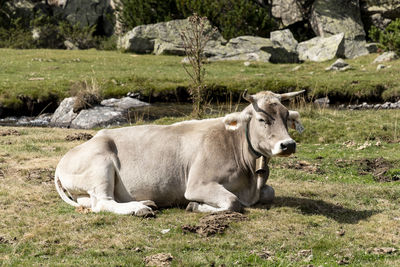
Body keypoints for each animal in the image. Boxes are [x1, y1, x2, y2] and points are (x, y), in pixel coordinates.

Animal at [54, 91, 304, 217]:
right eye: (262, 119)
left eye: (286, 116)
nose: (288, 145)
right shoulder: (197, 184)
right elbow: (233, 202)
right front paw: (196, 206)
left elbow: (269, 192)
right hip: (100, 165)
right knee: (103, 203)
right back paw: (140, 208)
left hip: (86, 189)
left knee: (95, 202)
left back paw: (146, 202)